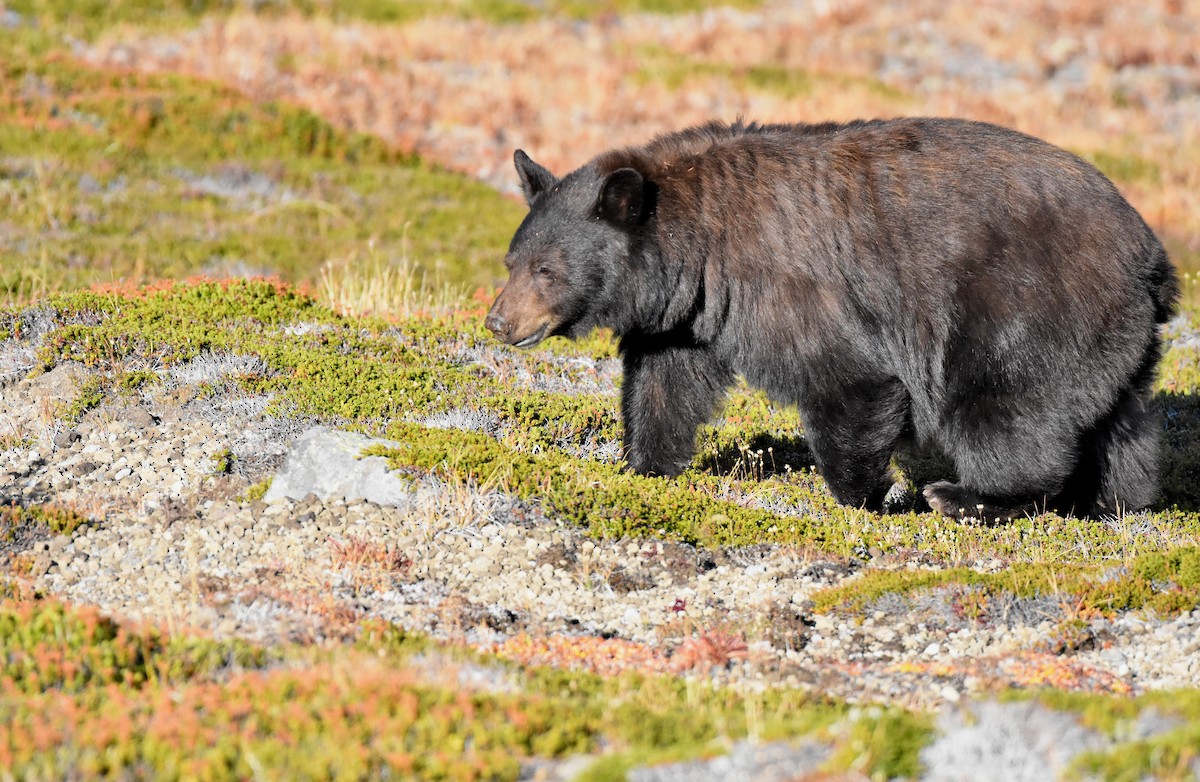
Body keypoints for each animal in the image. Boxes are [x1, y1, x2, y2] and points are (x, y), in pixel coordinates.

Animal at [484, 118, 1178, 520]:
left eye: (545, 270)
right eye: (512, 261)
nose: (497, 322)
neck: (699, 238)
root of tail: (1152, 259)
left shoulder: (781, 281)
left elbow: (849, 379)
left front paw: (866, 496)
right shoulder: (687, 315)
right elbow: (665, 383)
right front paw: (642, 466)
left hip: (1024, 311)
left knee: (1004, 412)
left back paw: (967, 496)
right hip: (1109, 338)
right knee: (1123, 427)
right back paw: (1111, 501)